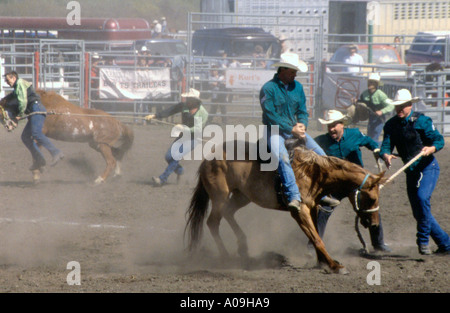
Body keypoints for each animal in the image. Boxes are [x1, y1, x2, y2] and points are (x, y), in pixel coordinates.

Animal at [0, 89, 134, 184]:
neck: (43, 106)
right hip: (96, 144)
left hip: (102, 145)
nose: (8, 126)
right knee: (118, 153)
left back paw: (100, 179)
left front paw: (36, 174)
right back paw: (117, 174)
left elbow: (36, 153)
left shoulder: (39, 134)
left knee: (111, 161)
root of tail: (117, 122)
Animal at [186, 141, 386, 272]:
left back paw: (243, 248)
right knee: (213, 222)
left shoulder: (313, 208)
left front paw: (323, 262)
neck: (313, 173)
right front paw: (334, 265)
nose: (375, 224)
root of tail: (208, 159)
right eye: (371, 198)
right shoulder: (299, 211)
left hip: (241, 196)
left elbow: (316, 235)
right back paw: (226, 256)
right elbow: (316, 238)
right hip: (219, 196)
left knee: (228, 212)